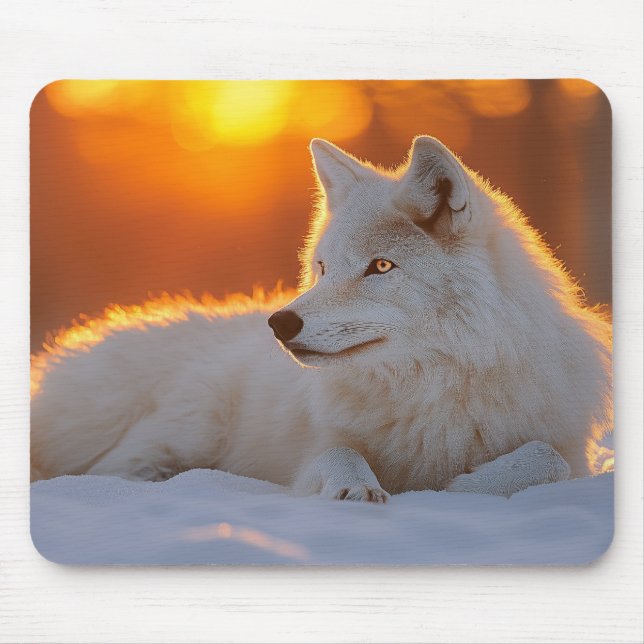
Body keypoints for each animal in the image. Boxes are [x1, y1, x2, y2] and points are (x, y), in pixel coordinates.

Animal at [31, 136, 612, 501]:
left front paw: (461, 487)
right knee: (109, 471)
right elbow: (337, 455)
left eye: (380, 266)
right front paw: (354, 487)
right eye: (323, 268)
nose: (279, 324)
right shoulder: (315, 447)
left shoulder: (567, 447)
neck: (434, 388)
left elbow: (547, 459)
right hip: (190, 425)